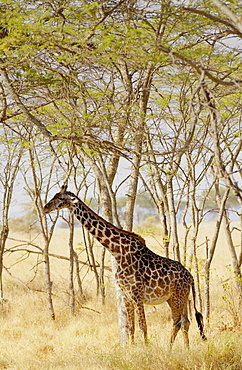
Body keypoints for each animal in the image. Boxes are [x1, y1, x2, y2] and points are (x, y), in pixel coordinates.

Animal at [43, 186, 206, 348]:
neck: (117, 250)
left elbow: (143, 325)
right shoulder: (126, 295)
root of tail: (191, 277)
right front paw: (131, 349)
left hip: (177, 297)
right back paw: (186, 349)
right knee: (185, 322)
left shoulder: (137, 293)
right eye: (54, 195)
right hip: (178, 297)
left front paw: (147, 349)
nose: (45, 208)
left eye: (61, 198)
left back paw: (169, 349)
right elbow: (131, 327)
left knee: (177, 322)